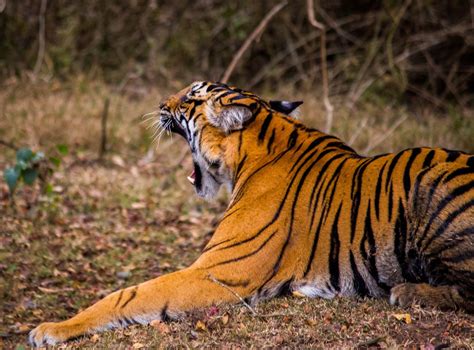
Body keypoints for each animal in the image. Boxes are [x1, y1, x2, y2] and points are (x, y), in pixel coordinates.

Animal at [28, 82, 474, 348]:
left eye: (188, 99)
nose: (159, 105)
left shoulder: (217, 270)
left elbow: (127, 296)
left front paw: (49, 330)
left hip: (434, 188)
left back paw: (408, 292)